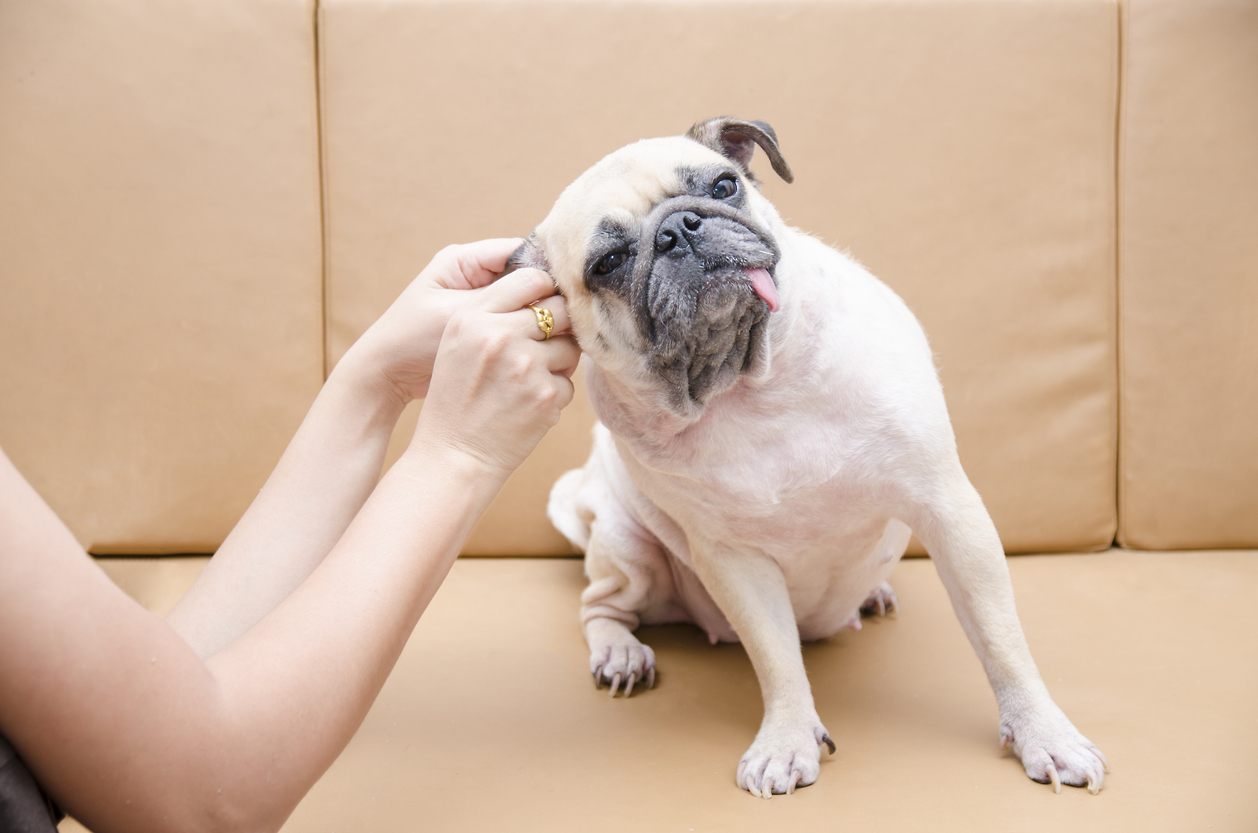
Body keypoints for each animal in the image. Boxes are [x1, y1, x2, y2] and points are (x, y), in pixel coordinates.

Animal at [505, 118, 1107, 805]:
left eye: (723, 186)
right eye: (608, 264)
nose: (679, 228)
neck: (746, 388)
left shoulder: (949, 510)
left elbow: (1002, 641)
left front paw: (1044, 734)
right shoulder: (733, 561)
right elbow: (777, 659)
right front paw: (786, 740)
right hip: (628, 548)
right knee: (601, 604)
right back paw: (621, 653)